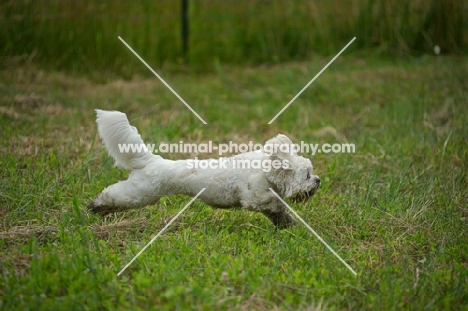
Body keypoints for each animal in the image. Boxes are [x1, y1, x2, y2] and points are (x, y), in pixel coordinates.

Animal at [88, 110, 320, 229]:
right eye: (307, 175)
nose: (318, 180)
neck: (266, 170)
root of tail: (152, 161)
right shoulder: (254, 196)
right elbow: (275, 205)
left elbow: (279, 213)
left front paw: (289, 226)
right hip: (142, 192)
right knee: (115, 194)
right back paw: (96, 206)